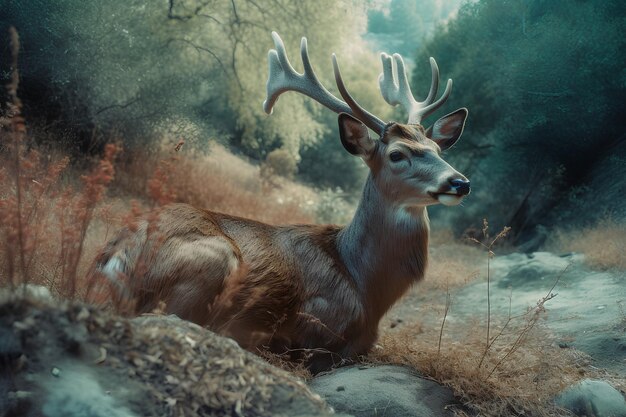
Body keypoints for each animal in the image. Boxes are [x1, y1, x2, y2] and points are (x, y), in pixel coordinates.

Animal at [98, 31, 468, 370]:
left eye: (437, 150)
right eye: (396, 154)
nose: (460, 182)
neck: (364, 283)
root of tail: (117, 254)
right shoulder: (313, 328)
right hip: (213, 262)